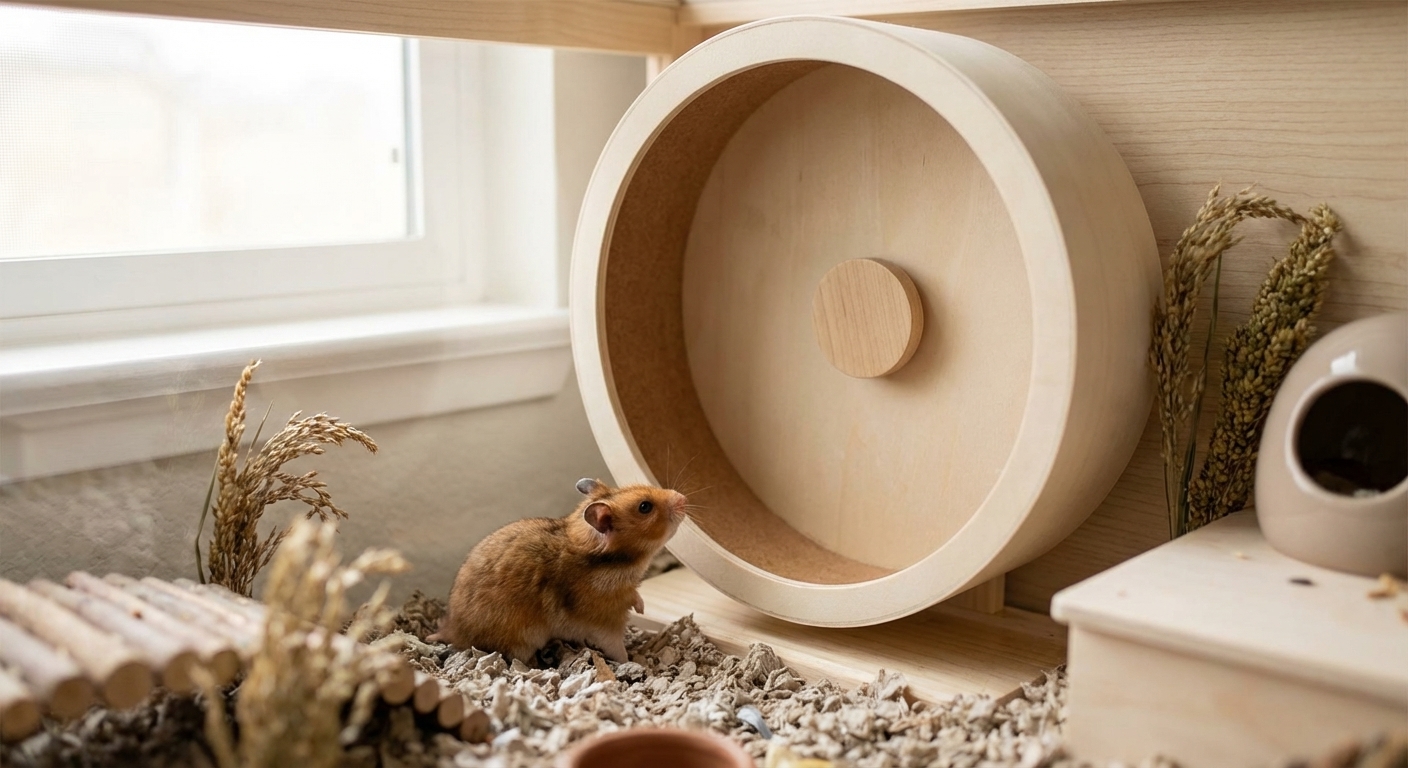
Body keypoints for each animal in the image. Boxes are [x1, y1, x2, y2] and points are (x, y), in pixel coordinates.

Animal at [427, 478, 687, 663]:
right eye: (645, 507)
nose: (683, 498)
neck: (611, 562)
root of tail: (451, 631)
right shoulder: (605, 620)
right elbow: (617, 648)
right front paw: (634, 662)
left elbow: (636, 595)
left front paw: (641, 609)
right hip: (520, 640)